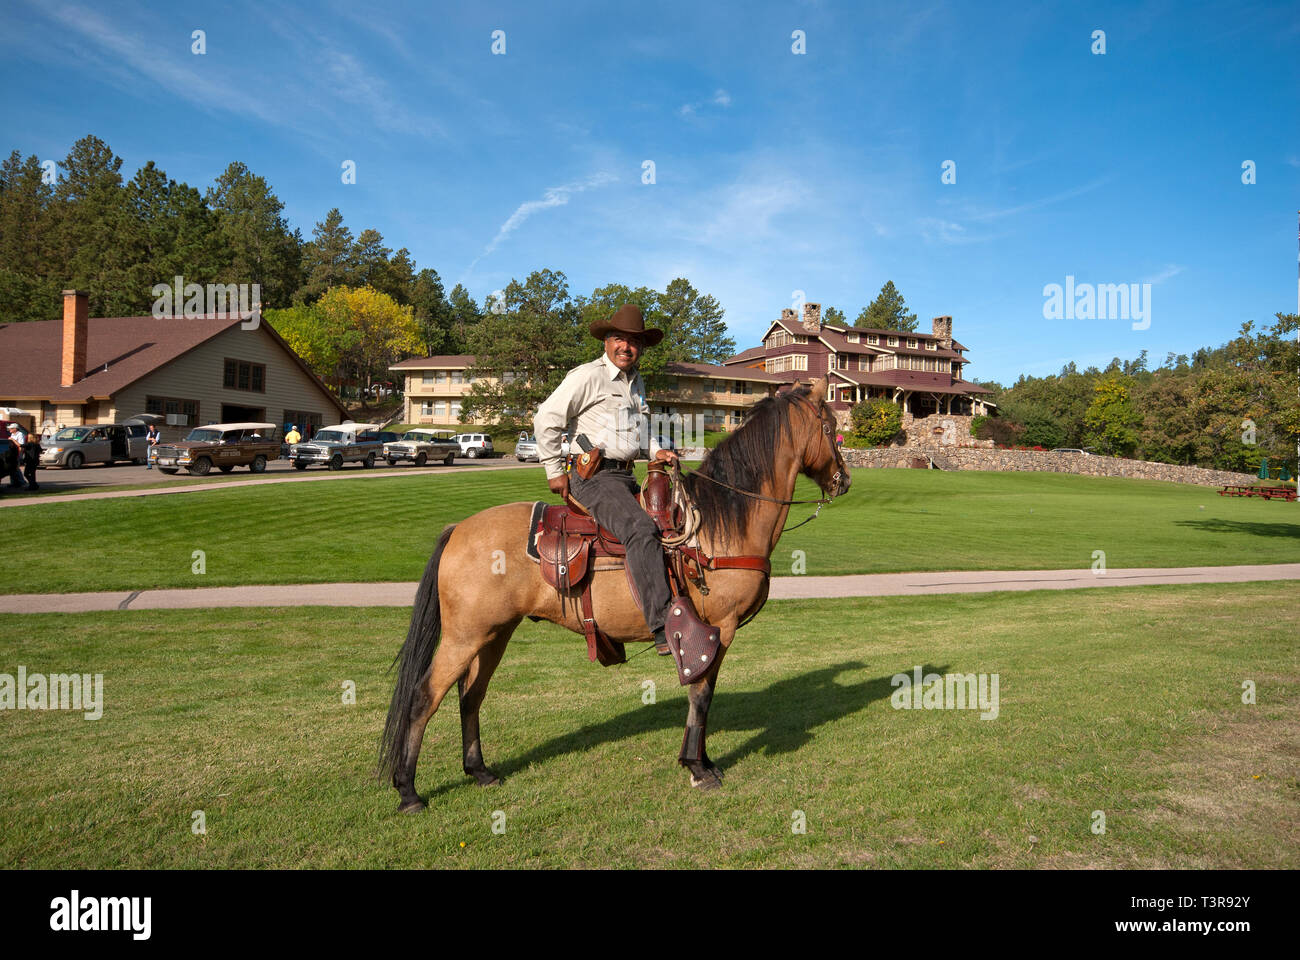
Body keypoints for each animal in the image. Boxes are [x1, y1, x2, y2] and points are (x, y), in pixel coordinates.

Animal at [379, 376, 851, 812]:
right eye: (830, 428)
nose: (844, 481)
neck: (720, 526)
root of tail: (458, 528)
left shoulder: (715, 633)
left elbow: (706, 693)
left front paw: (703, 761)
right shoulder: (716, 628)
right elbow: (701, 694)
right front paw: (697, 769)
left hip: (494, 634)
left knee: (471, 695)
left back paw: (478, 771)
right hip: (464, 636)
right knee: (424, 697)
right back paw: (408, 791)